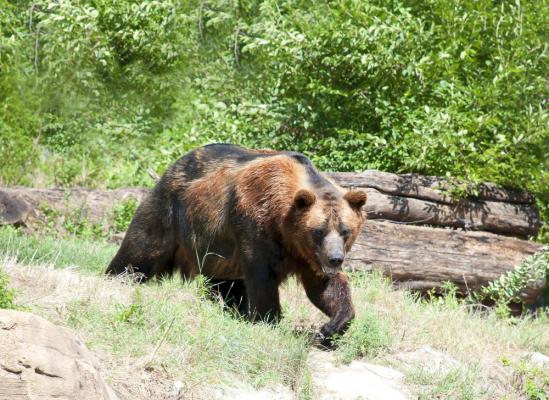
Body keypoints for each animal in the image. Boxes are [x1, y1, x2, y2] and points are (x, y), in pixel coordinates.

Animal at [105, 144, 366, 344]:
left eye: (345, 230)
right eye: (319, 230)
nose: (335, 258)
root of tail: (171, 168)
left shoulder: (307, 255)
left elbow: (324, 288)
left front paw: (328, 329)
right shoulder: (255, 224)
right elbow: (262, 277)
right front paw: (268, 319)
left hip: (218, 252)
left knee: (225, 284)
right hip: (169, 214)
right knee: (140, 252)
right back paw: (117, 276)